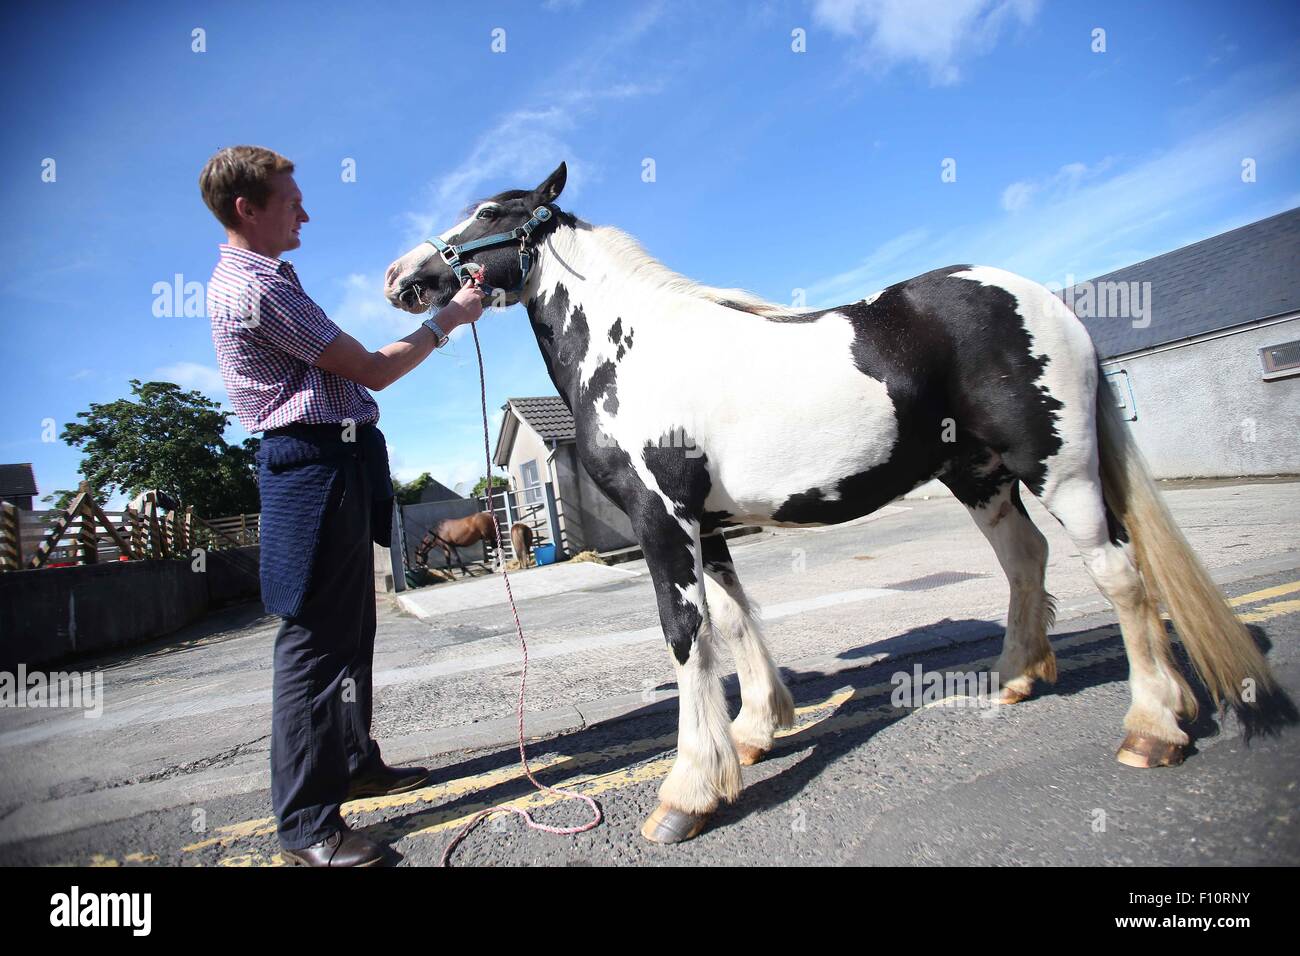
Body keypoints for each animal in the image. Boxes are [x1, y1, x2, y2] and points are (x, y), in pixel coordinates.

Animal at [382, 162, 1279, 842]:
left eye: (492, 213)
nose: (401, 276)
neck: (631, 348)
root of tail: (1047, 300)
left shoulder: (661, 519)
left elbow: (686, 636)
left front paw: (689, 793)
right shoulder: (707, 525)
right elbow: (735, 619)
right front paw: (754, 734)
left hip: (1059, 469)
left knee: (1118, 575)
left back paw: (1152, 728)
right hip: (979, 476)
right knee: (1028, 559)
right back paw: (1020, 678)